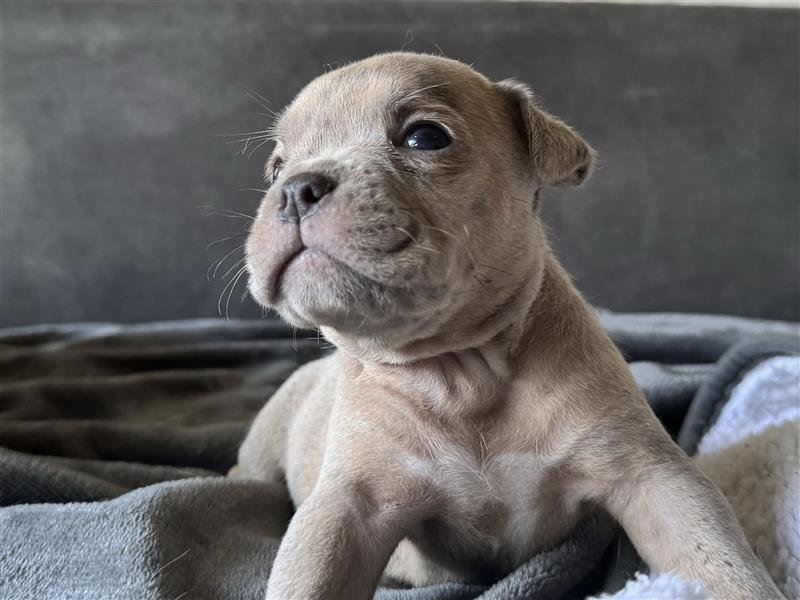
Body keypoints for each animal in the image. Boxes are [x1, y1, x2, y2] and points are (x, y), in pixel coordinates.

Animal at [230, 52, 780, 600]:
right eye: (276, 168)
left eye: (425, 137)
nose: (293, 190)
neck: (461, 370)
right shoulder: (349, 506)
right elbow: (313, 574)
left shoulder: (650, 475)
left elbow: (719, 560)